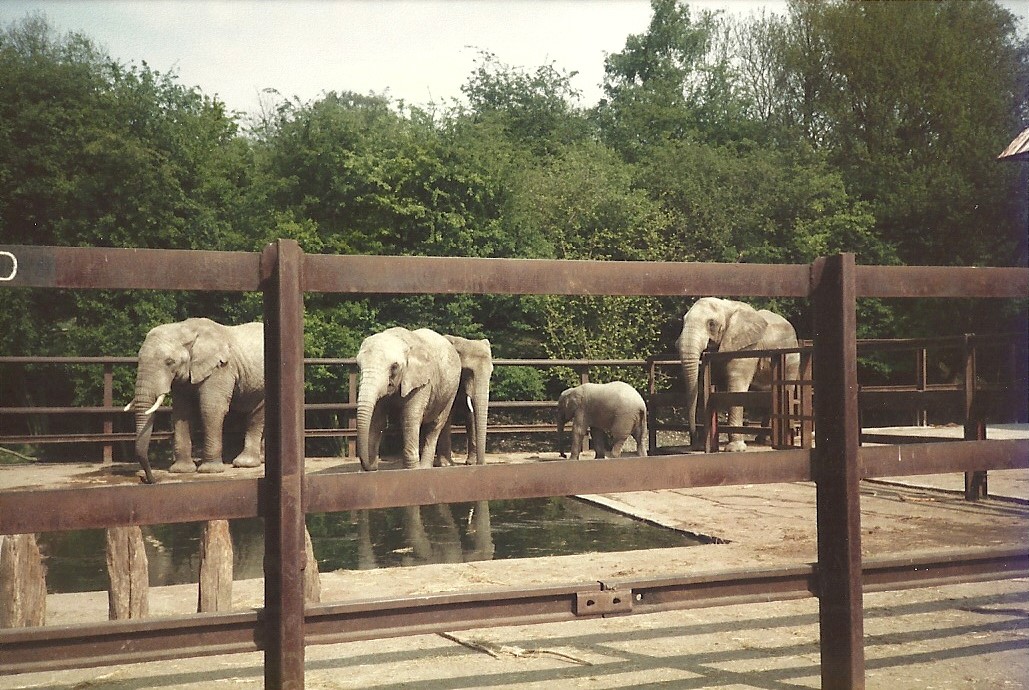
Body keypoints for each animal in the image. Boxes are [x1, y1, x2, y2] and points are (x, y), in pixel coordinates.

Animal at [125, 317, 265, 484]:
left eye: (169, 362)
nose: (149, 480)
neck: (184, 328)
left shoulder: (220, 369)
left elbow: (211, 409)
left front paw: (209, 471)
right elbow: (181, 412)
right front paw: (181, 470)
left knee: (257, 414)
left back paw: (245, 464)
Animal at [355, 327, 462, 471]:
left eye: (394, 366)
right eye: (359, 365)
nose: (368, 464)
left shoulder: (422, 382)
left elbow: (410, 417)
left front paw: (413, 470)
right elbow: (376, 420)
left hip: (452, 389)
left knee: (436, 425)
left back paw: (424, 467)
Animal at [438, 335, 493, 466]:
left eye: (491, 373)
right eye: (467, 371)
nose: (481, 464)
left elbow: (471, 414)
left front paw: (470, 463)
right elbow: (447, 414)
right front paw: (446, 464)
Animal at [676, 297, 799, 452]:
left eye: (711, 323)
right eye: (684, 321)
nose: (695, 444)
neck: (727, 307)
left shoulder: (747, 347)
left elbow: (736, 388)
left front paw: (735, 449)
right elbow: (709, 387)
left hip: (791, 359)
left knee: (784, 391)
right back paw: (761, 440)